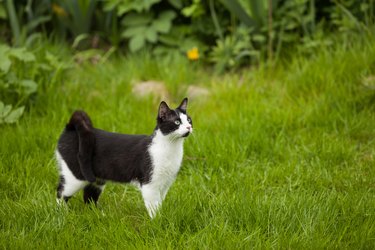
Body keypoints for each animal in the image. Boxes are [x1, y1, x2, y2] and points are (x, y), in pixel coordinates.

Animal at [55, 97, 194, 217]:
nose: (189, 127)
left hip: (97, 179)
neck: (171, 147)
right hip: (76, 176)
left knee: (89, 196)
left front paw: (163, 217)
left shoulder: (165, 183)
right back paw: (63, 215)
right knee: (61, 192)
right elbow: (154, 206)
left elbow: (160, 203)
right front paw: (157, 222)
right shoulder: (150, 184)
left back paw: (99, 215)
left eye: (189, 120)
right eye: (177, 122)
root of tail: (70, 128)